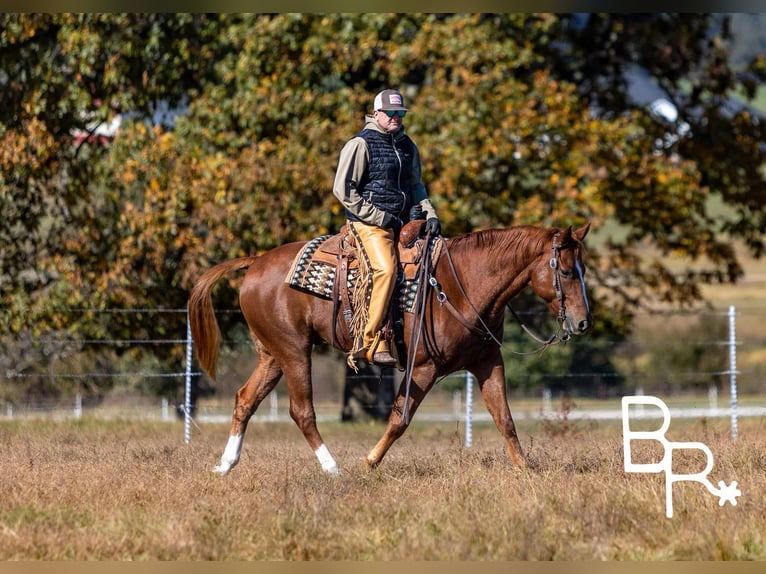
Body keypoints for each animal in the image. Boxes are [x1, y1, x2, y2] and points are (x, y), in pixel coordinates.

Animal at [188, 224, 592, 476]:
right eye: (566, 271)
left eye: (583, 269)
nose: (583, 322)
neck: (459, 283)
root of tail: (255, 261)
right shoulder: (424, 367)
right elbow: (400, 418)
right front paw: (369, 462)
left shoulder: (488, 362)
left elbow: (504, 419)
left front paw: (526, 470)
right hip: (294, 351)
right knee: (301, 411)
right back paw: (333, 469)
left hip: (273, 355)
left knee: (245, 399)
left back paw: (225, 465)